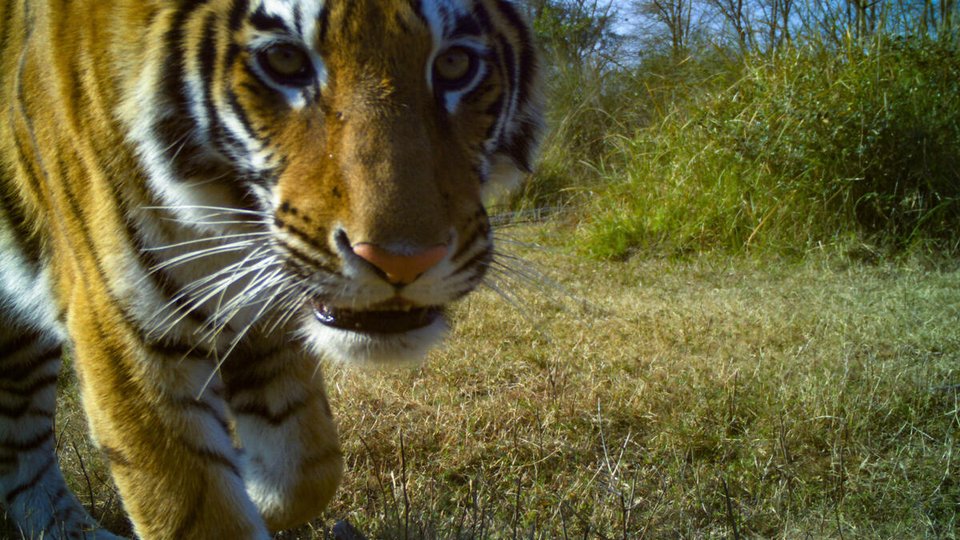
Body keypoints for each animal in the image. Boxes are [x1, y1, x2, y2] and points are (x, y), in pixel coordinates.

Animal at [0, 0, 541, 538]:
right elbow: (200, 510)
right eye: (284, 60)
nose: (401, 260)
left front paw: (253, 483)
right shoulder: (124, 333)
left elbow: (309, 468)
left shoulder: (269, 317)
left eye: (454, 64)